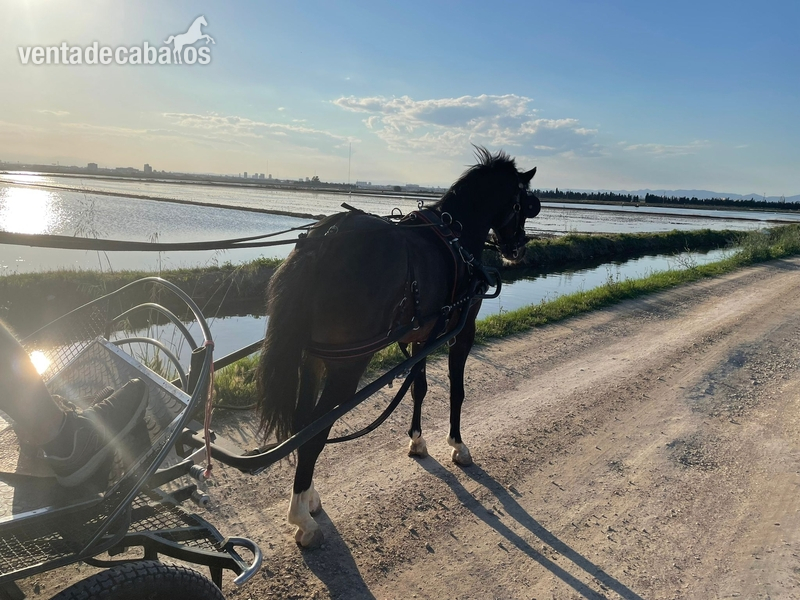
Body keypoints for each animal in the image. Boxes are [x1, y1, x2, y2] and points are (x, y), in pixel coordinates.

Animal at [256, 147, 541, 547]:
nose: (518, 249)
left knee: (305, 425)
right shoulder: (462, 331)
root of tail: (323, 240)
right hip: (347, 365)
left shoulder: (422, 336)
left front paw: (417, 441)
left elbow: (418, 388)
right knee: (315, 431)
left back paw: (308, 497)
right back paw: (302, 518)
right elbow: (456, 390)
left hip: (315, 359)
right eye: (522, 203)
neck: (457, 233)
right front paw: (457, 445)